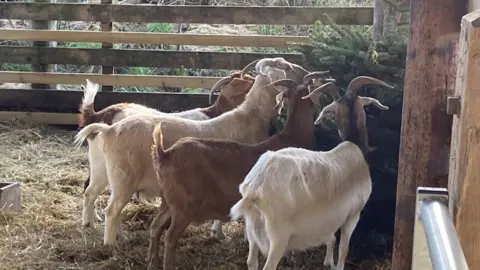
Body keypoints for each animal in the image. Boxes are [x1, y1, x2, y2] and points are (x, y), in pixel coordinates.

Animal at [148, 75, 336, 268]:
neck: (294, 135)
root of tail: (165, 154)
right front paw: (295, 258)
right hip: (184, 206)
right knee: (170, 237)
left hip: (168, 202)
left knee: (155, 227)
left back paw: (153, 262)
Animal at [230, 76, 394, 270]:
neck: (355, 146)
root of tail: (255, 188)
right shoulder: (353, 214)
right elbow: (344, 249)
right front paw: (337, 265)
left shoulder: (332, 216)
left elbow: (331, 238)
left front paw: (328, 262)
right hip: (278, 236)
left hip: (252, 230)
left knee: (251, 261)